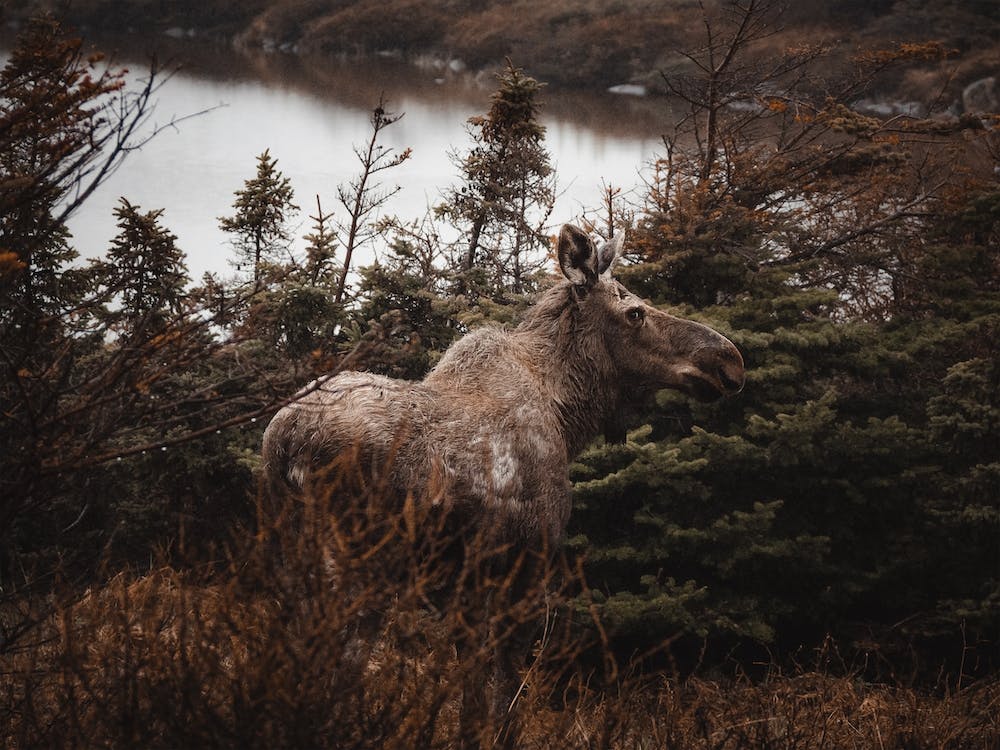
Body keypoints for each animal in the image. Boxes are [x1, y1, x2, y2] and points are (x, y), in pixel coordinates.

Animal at [261, 224, 745, 748]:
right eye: (635, 312)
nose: (729, 360)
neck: (568, 416)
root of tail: (284, 442)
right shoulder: (529, 565)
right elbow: (506, 692)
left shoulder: (466, 586)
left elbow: (471, 693)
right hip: (358, 565)